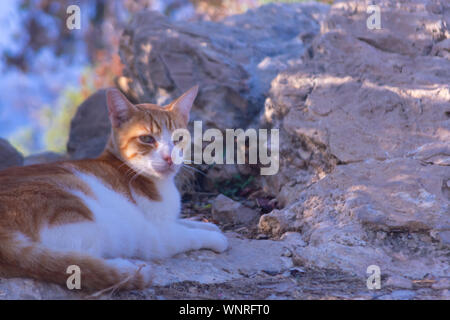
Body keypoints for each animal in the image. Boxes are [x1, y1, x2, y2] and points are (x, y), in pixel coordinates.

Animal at [0, 86, 227, 292]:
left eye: (179, 138)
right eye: (147, 139)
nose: (169, 158)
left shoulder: (165, 219)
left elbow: (185, 222)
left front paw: (208, 226)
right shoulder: (159, 232)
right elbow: (189, 234)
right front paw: (215, 237)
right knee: (79, 261)